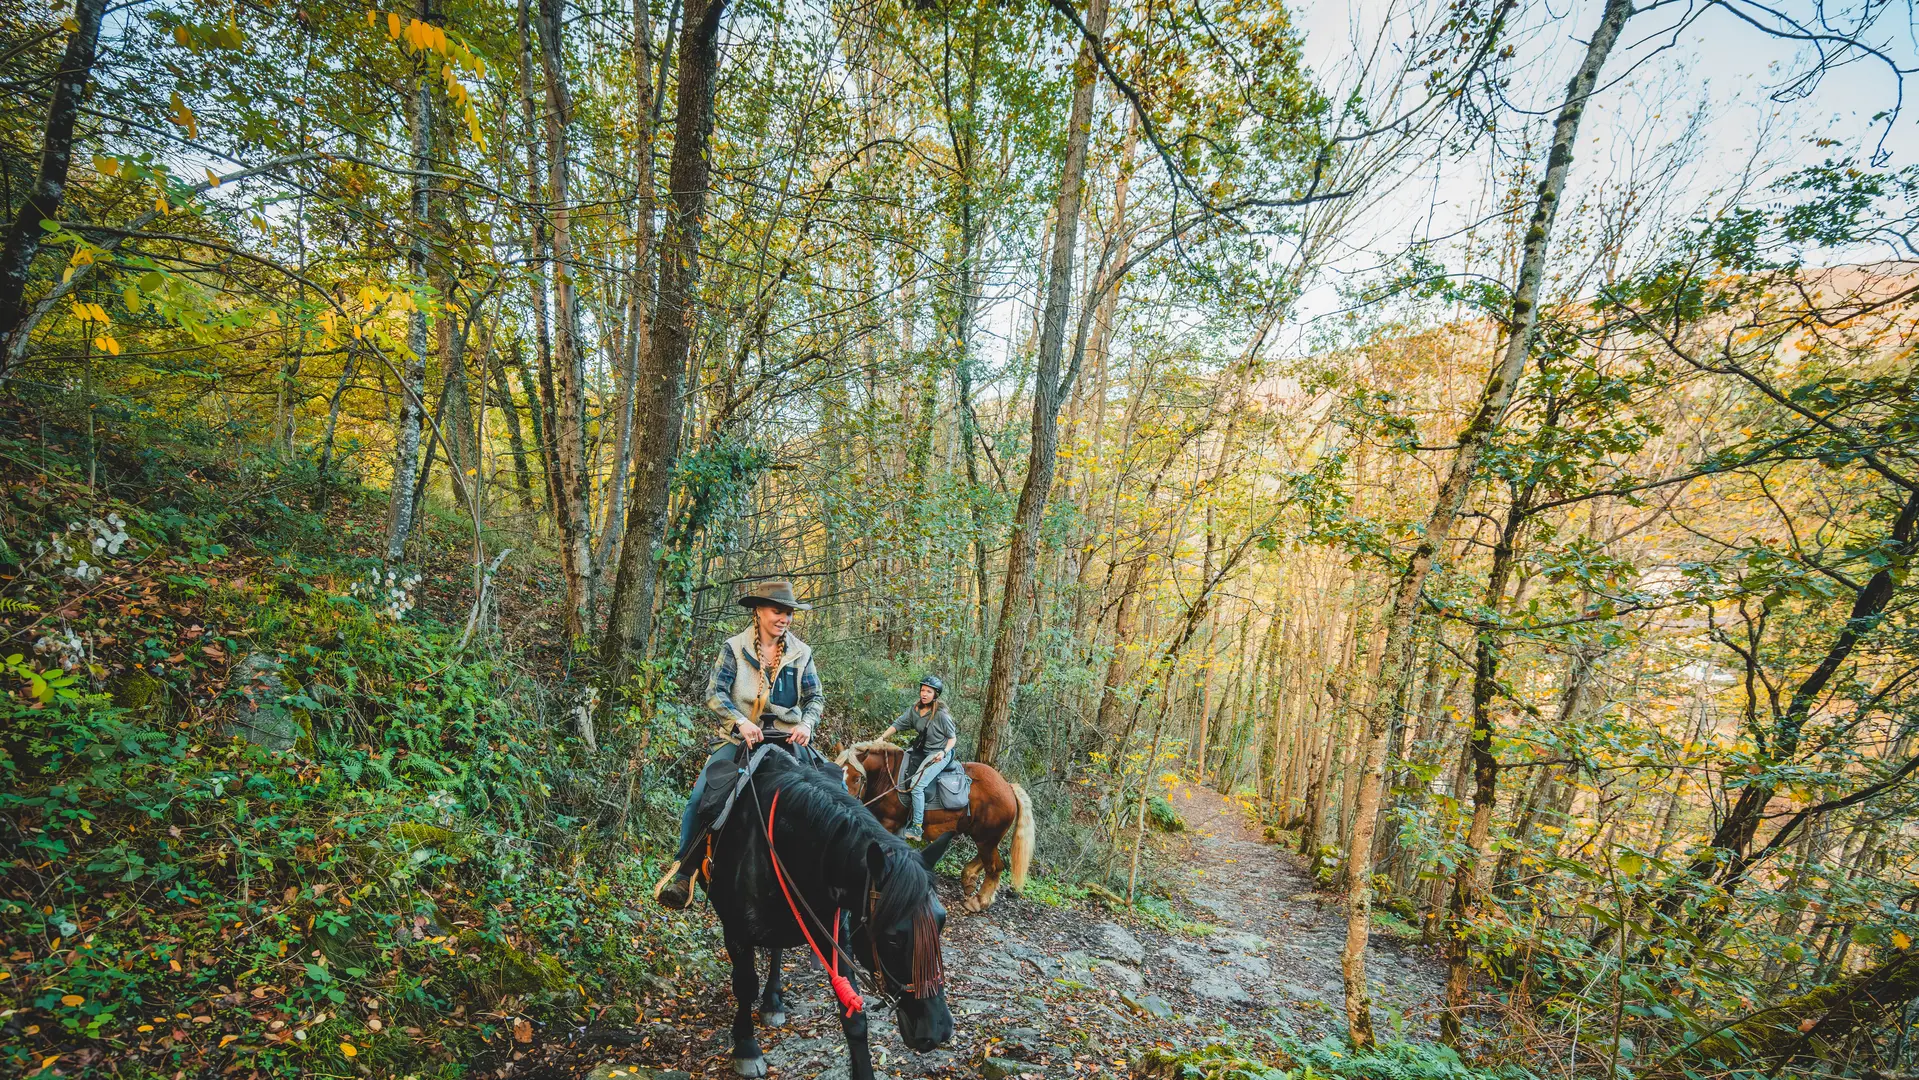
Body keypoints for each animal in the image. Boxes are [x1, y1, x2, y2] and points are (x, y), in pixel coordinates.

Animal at [702, 744, 955, 1080]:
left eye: (941, 923)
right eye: (892, 939)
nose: (937, 1030)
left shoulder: (837, 935)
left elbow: (854, 1016)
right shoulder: (735, 933)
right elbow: (744, 986)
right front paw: (746, 1048)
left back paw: (773, 1002)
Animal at [832, 744, 1028, 913]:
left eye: (857, 778)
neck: (887, 780)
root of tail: (1008, 786)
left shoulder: (888, 823)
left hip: (986, 839)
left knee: (995, 867)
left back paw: (979, 901)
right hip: (984, 837)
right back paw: (969, 880)